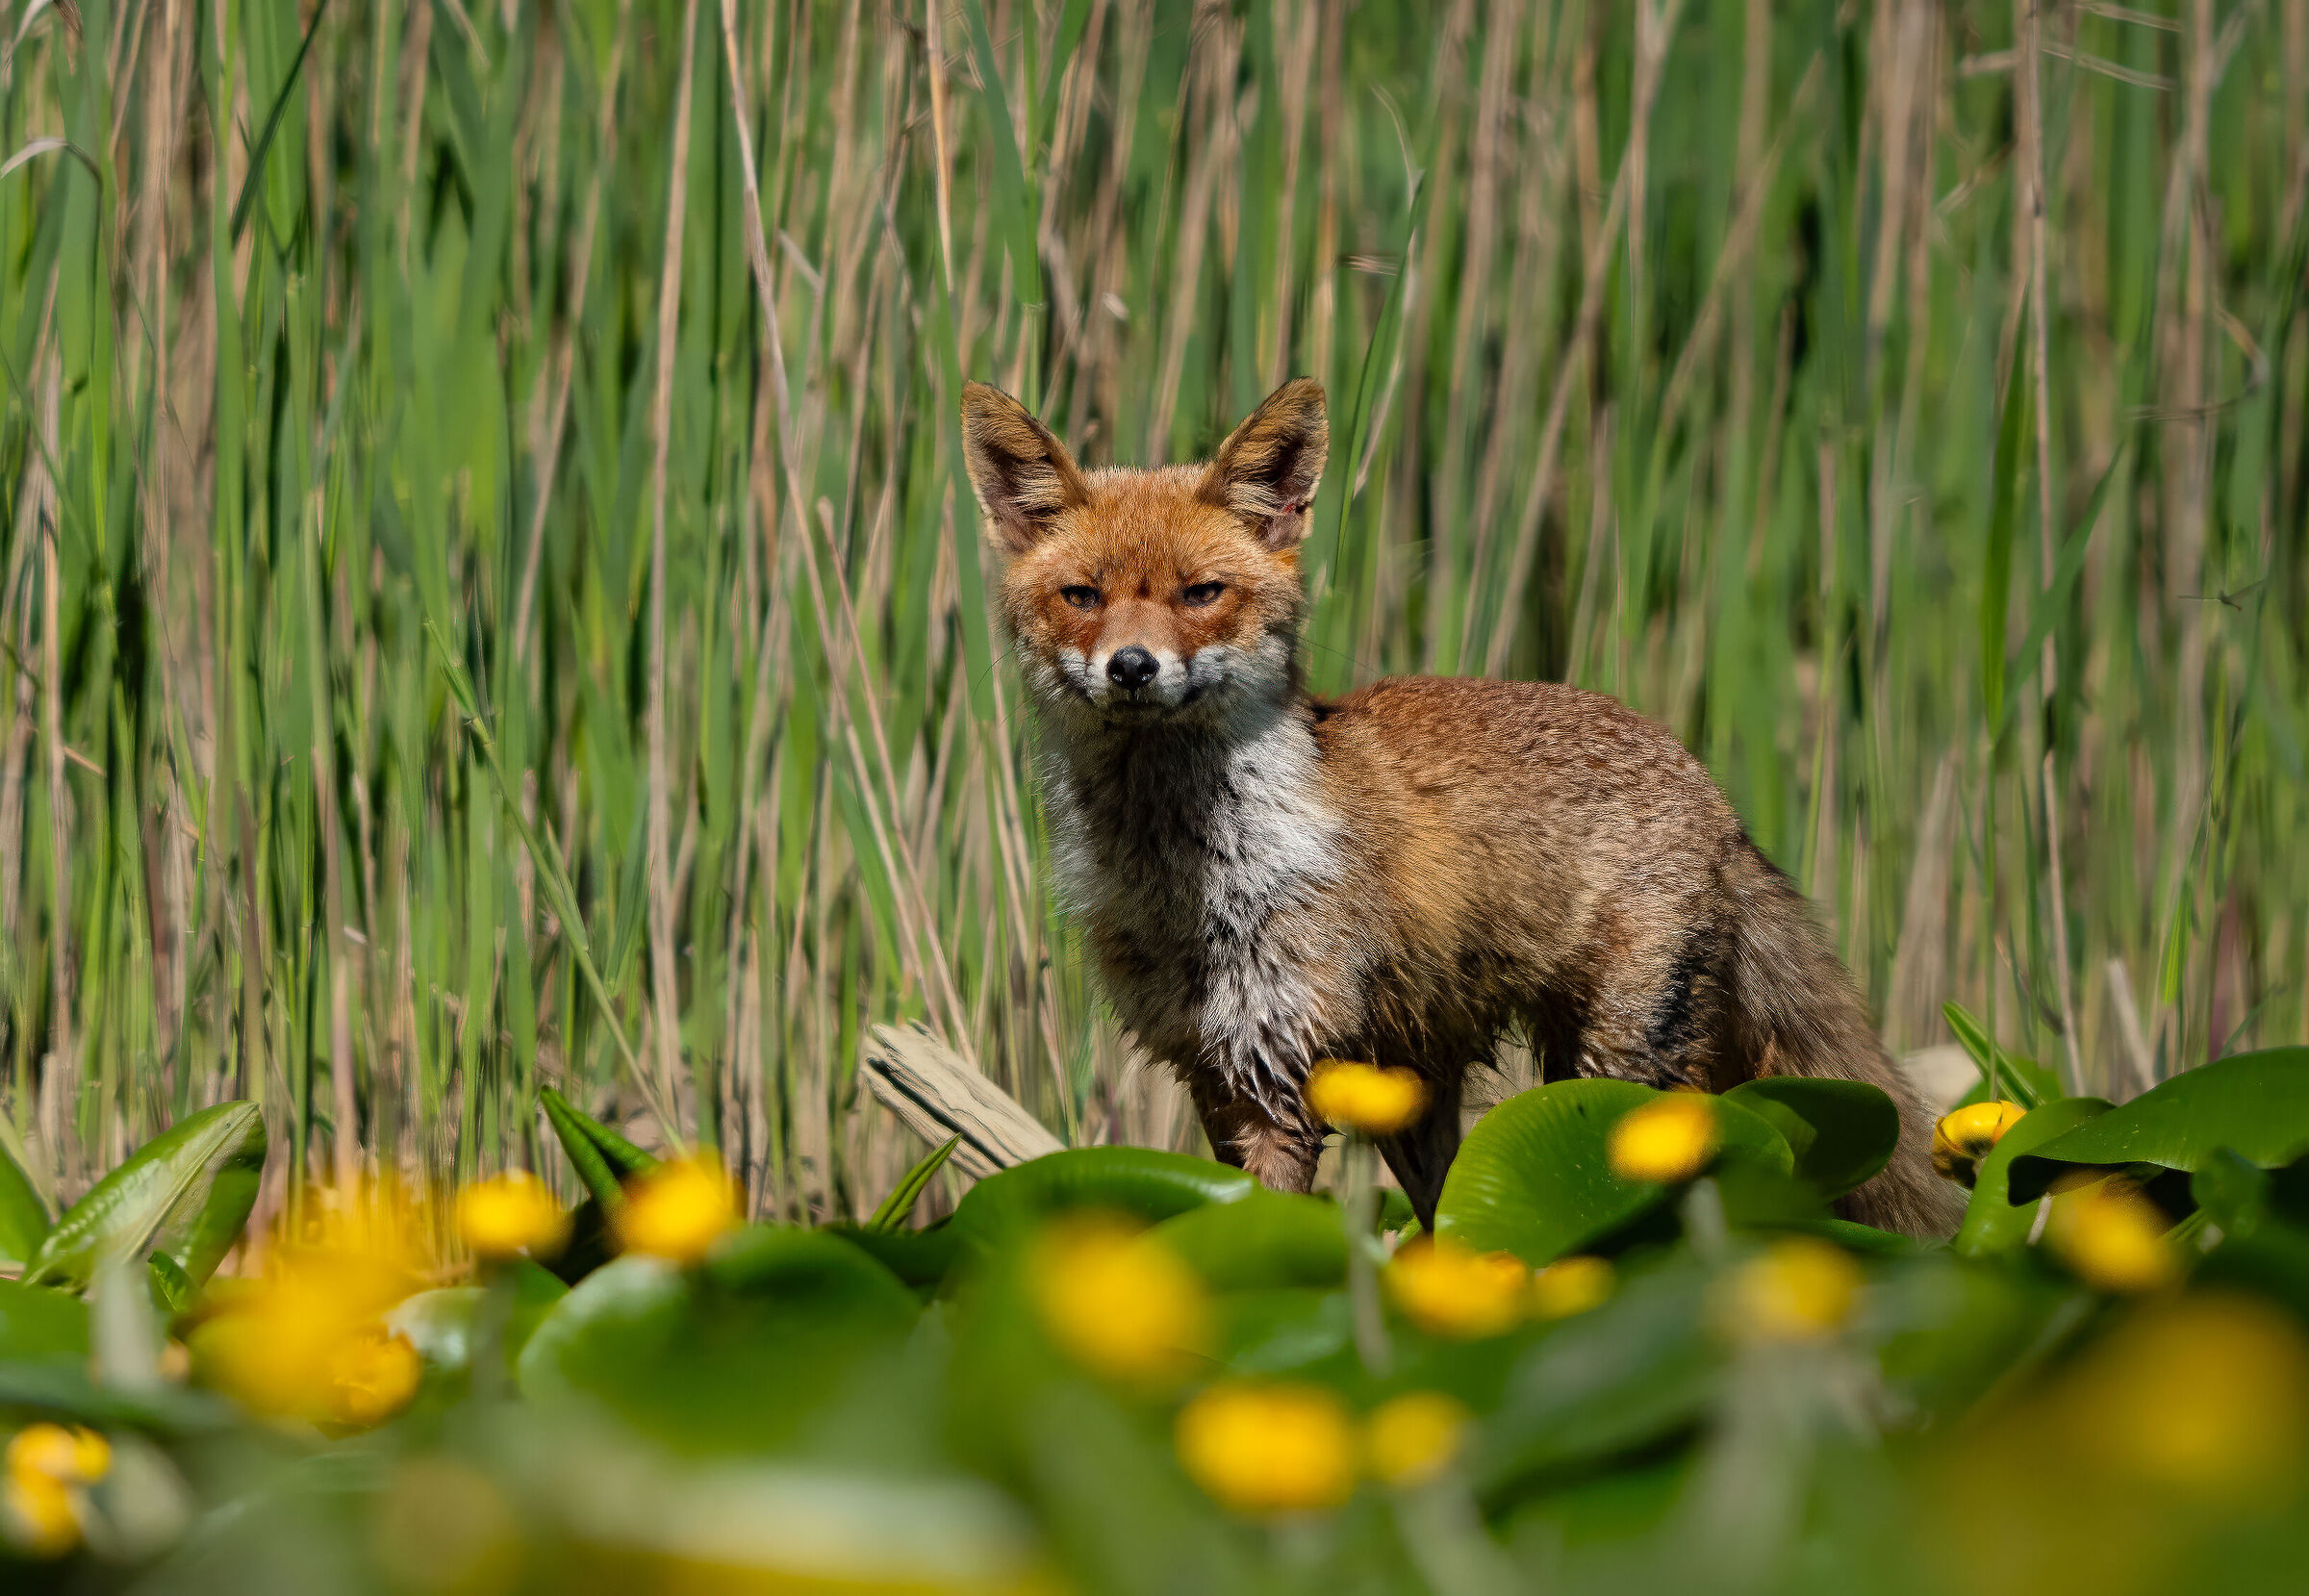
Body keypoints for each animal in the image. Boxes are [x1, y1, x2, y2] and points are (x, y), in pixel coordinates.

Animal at [961, 374, 1959, 1238]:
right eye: (1082, 595)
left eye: (1201, 593)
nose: (1133, 667)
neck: (1194, 883)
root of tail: (1703, 777)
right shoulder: (1214, 1070)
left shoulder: (1282, 1065)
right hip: (1425, 1094)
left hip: (1622, 1069)